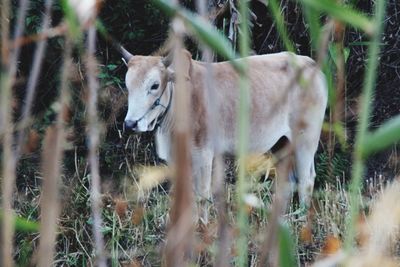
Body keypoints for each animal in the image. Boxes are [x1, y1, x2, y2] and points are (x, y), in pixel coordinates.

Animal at [122, 48, 328, 222]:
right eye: (127, 86)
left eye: (154, 85)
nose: (130, 124)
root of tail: (312, 65)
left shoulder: (203, 154)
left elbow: (202, 195)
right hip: (281, 143)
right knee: (288, 181)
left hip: (306, 140)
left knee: (306, 179)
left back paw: (301, 220)